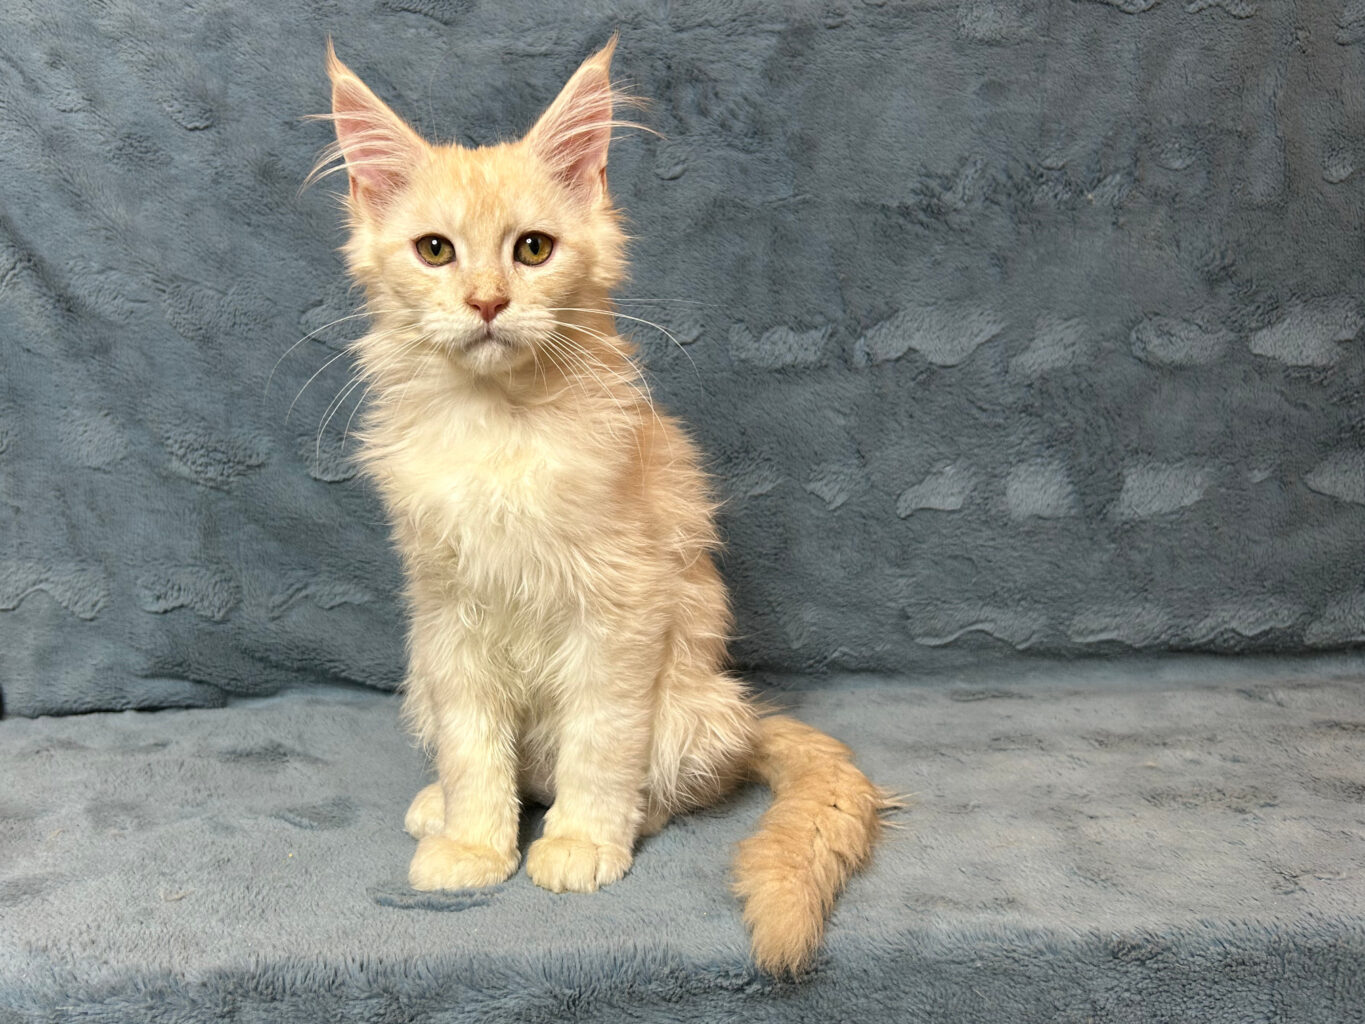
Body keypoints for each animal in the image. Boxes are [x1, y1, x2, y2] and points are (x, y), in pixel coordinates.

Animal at [318, 35, 893, 975]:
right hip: (422, 672)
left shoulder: (620, 608)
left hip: (694, 707)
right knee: (509, 767)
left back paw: (615, 823)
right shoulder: (450, 615)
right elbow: (475, 751)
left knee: (659, 779)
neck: (500, 425)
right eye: (435, 251)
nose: (487, 302)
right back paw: (440, 805)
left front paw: (581, 842)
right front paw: (473, 845)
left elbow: (599, 744)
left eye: (533, 249)